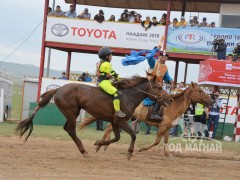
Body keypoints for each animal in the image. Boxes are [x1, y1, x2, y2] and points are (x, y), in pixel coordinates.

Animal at [15, 75, 172, 160]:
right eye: (158, 87)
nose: (170, 99)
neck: (128, 96)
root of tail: (58, 89)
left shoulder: (115, 122)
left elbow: (116, 138)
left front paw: (98, 143)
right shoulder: (120, 121)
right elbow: (133, 134)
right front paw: (129, 153)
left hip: (72, 113)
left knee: (68, 129)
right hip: (72, 113)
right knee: (71, 130)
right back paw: (84, 151)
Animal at [83, 82, 213, 155]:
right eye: (200, 90)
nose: (211, 100)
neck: (173, 105)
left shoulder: (167, 128)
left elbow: (166, 141)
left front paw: (167, 154)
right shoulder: (162, 127)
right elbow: (157, 141)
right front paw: (142, 149)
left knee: (109, 127)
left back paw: (103, 145)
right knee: (109, 128)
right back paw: (101, 146)